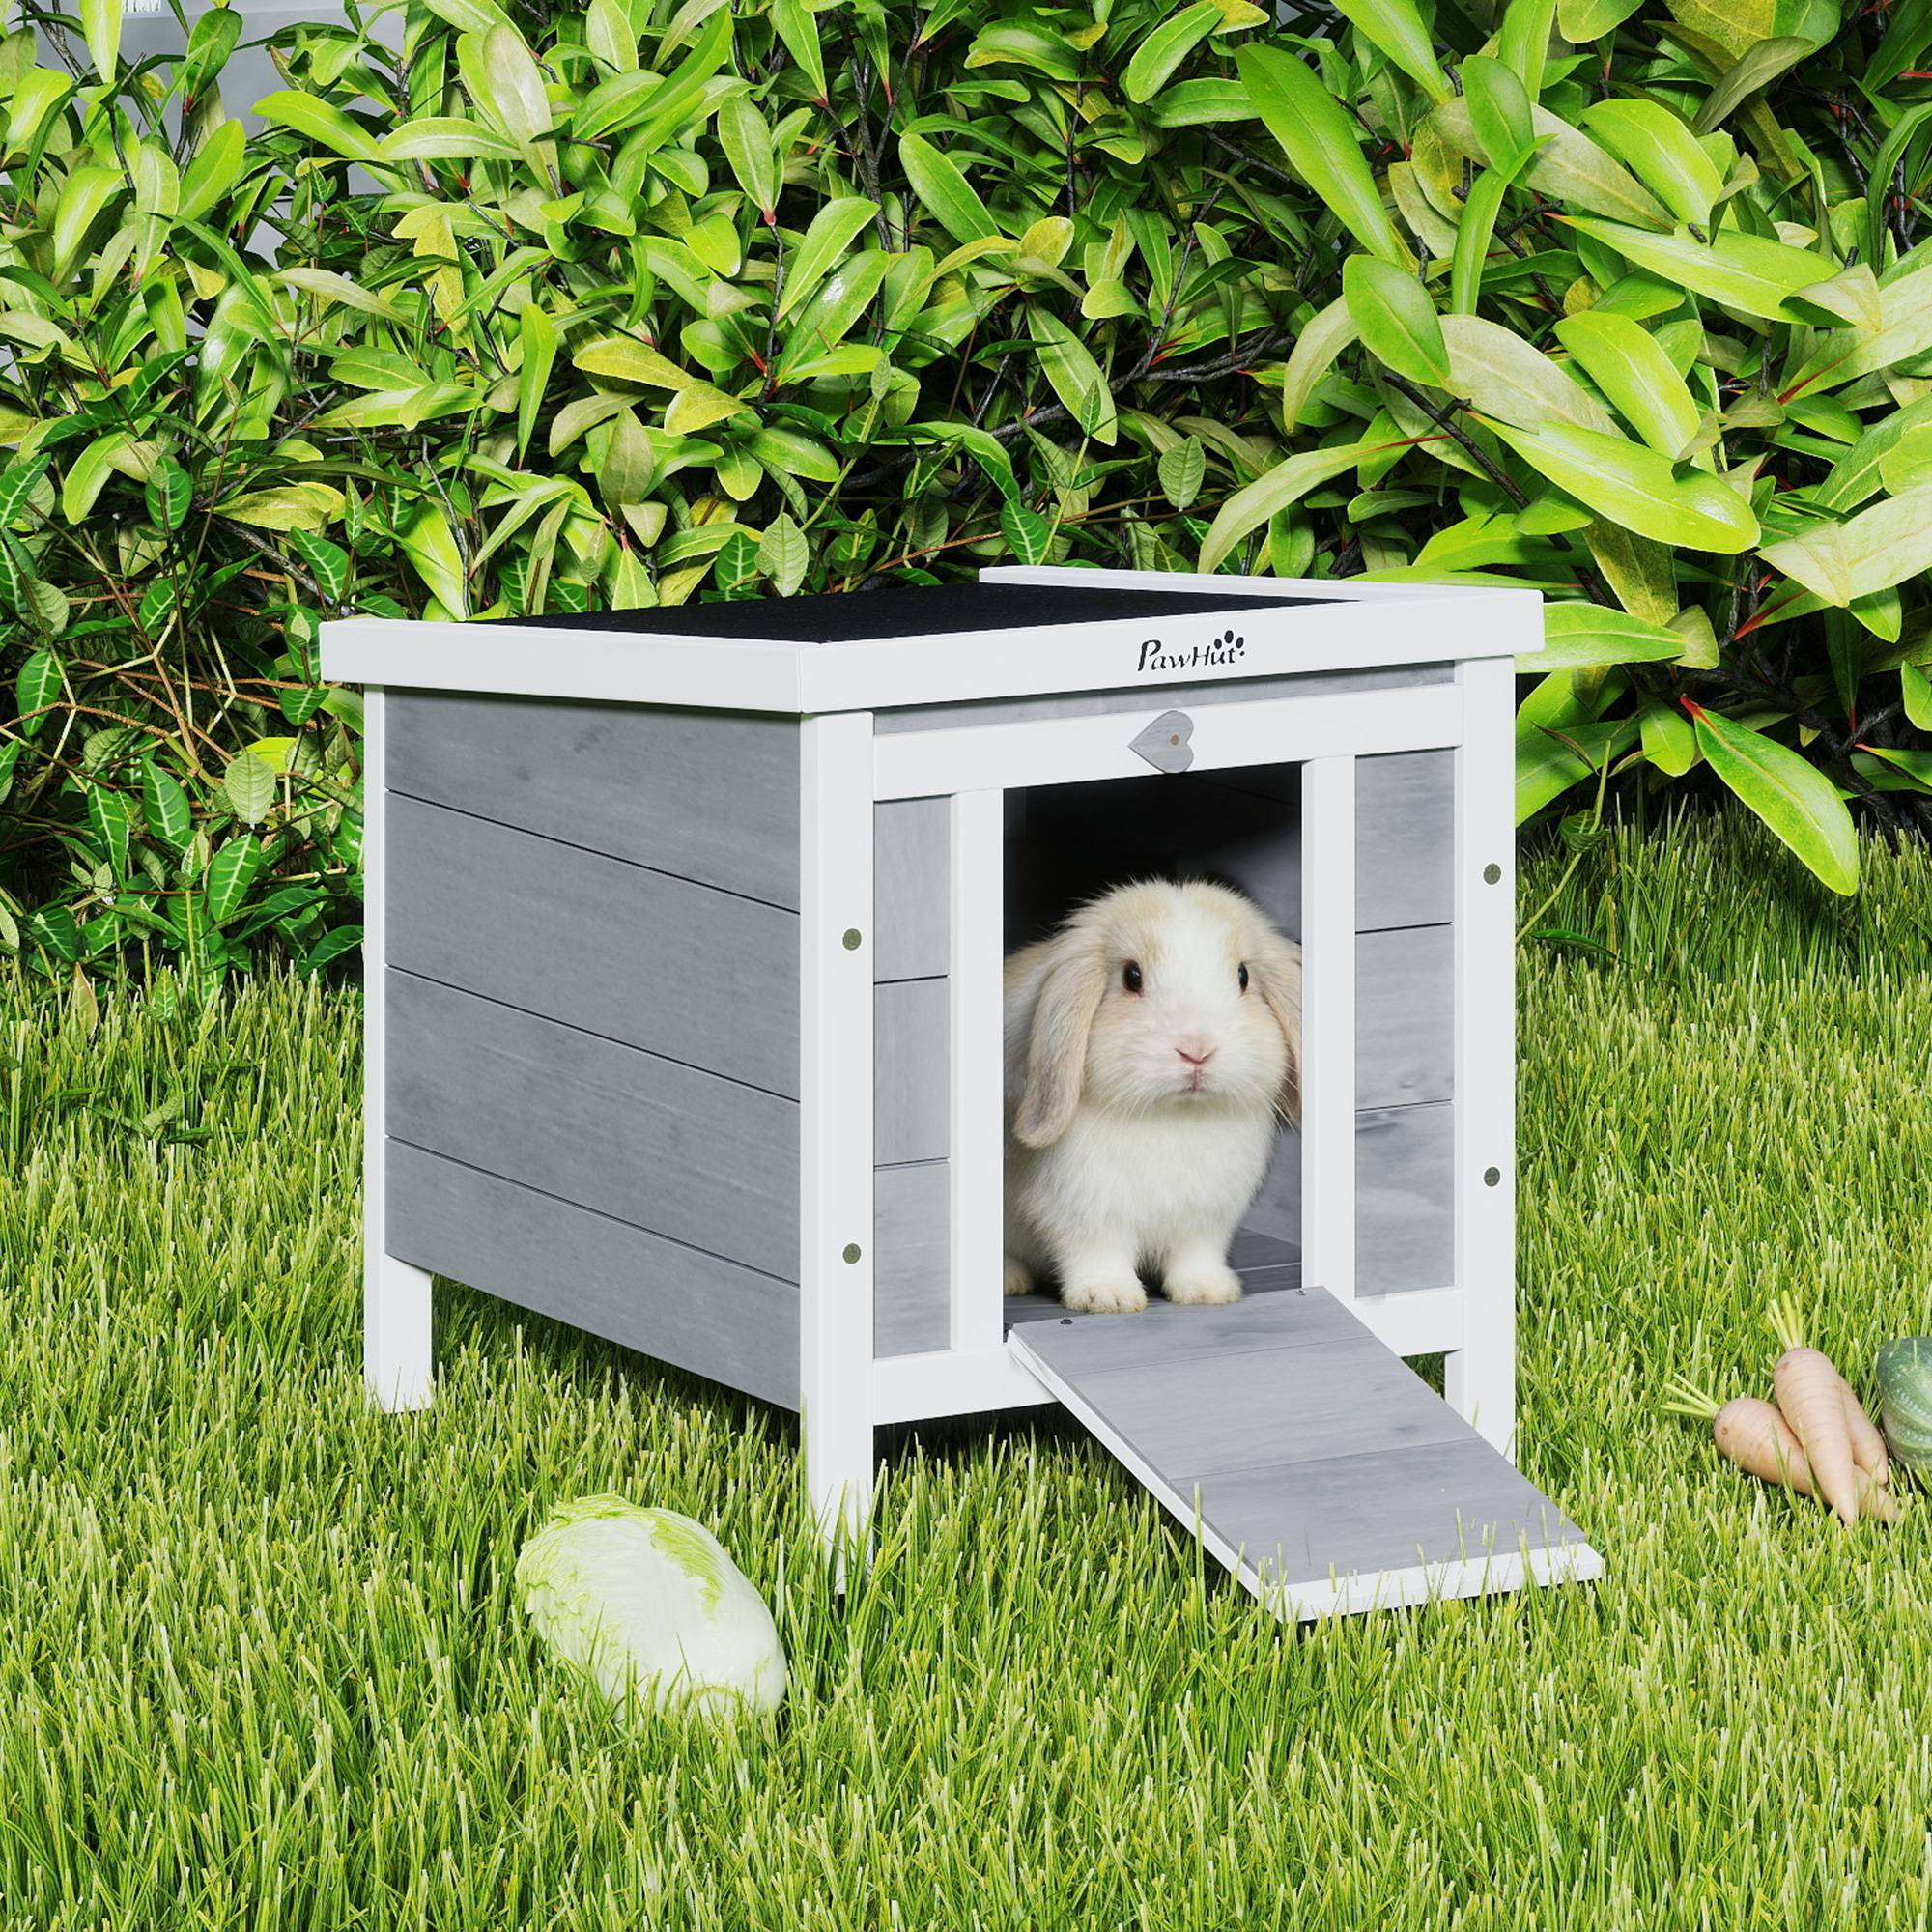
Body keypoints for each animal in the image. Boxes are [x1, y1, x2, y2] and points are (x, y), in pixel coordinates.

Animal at [1002, 880, 1301, 1316]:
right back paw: (1011, 1279)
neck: (1173, 1115)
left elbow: (1195, 1256)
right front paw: (1107, 1297)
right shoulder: (1085, 1212)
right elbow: (1096, 1253)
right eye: (1132, 976)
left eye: (1243, 975)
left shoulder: (1205, 1220)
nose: (1197, 1049)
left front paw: (1209, 1292)